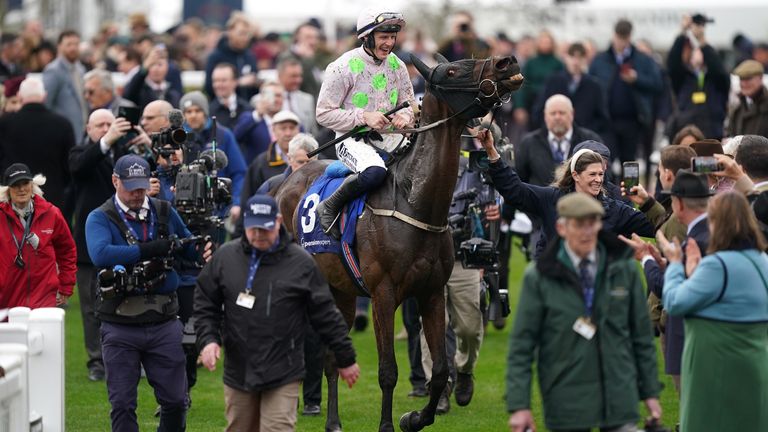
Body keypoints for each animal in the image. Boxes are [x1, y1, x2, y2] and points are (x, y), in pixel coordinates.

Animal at [274, 54, 520, 432]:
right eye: (453, 70)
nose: (506, 62)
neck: (413, 201)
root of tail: (289, 178)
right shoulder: (383, 295)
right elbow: (388, 371)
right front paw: (388, 424)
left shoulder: (431, 292)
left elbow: (441, 370)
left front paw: (415, 418)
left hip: (341, 290)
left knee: (332, 358)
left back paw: (333, 422)